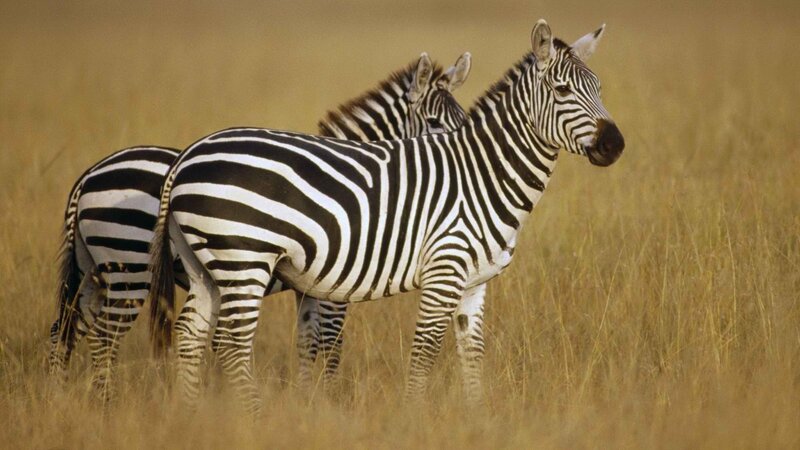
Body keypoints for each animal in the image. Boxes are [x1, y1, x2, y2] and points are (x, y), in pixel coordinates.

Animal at [48, 52, 472, 400]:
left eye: (465, 120)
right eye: (434, 123)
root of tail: (87, 178)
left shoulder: (310, 288)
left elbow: (307, 343)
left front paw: (306, 401)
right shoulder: (335, 288)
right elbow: (330, 345)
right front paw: (328, 401)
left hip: (93, 272)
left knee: (65, 331)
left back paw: (63, 399)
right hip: (130, 267)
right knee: (103, 338)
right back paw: (105, 404)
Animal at [148, 19, 625, 412]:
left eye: (600, 88)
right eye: (562, 91)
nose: (615, 144)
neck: (481, 176)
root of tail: (188, 155)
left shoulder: (474, 284)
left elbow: (472, 356)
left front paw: (476, 419)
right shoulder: (438, 272)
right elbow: (420, 352)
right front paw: (409, 418)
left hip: (205, 265)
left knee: (190, 334)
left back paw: (192, 413)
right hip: (243, 259)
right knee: (231, 343)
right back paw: (254, 416)